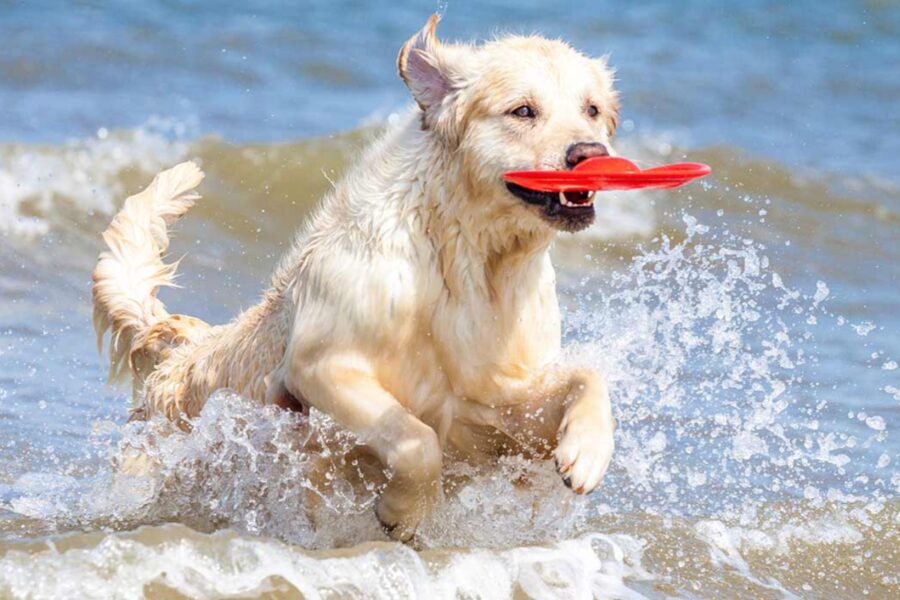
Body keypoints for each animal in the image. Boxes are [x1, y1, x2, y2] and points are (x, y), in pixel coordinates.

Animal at [95, 15, 624, 540]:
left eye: (592, 109)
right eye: (523, 110)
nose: (590, 152)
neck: (465, 261)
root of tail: (174, 349)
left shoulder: (499, 402)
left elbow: (586, 375)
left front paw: (587, 453)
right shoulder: (320, 366)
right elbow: (416, 438)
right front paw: (403, 511)